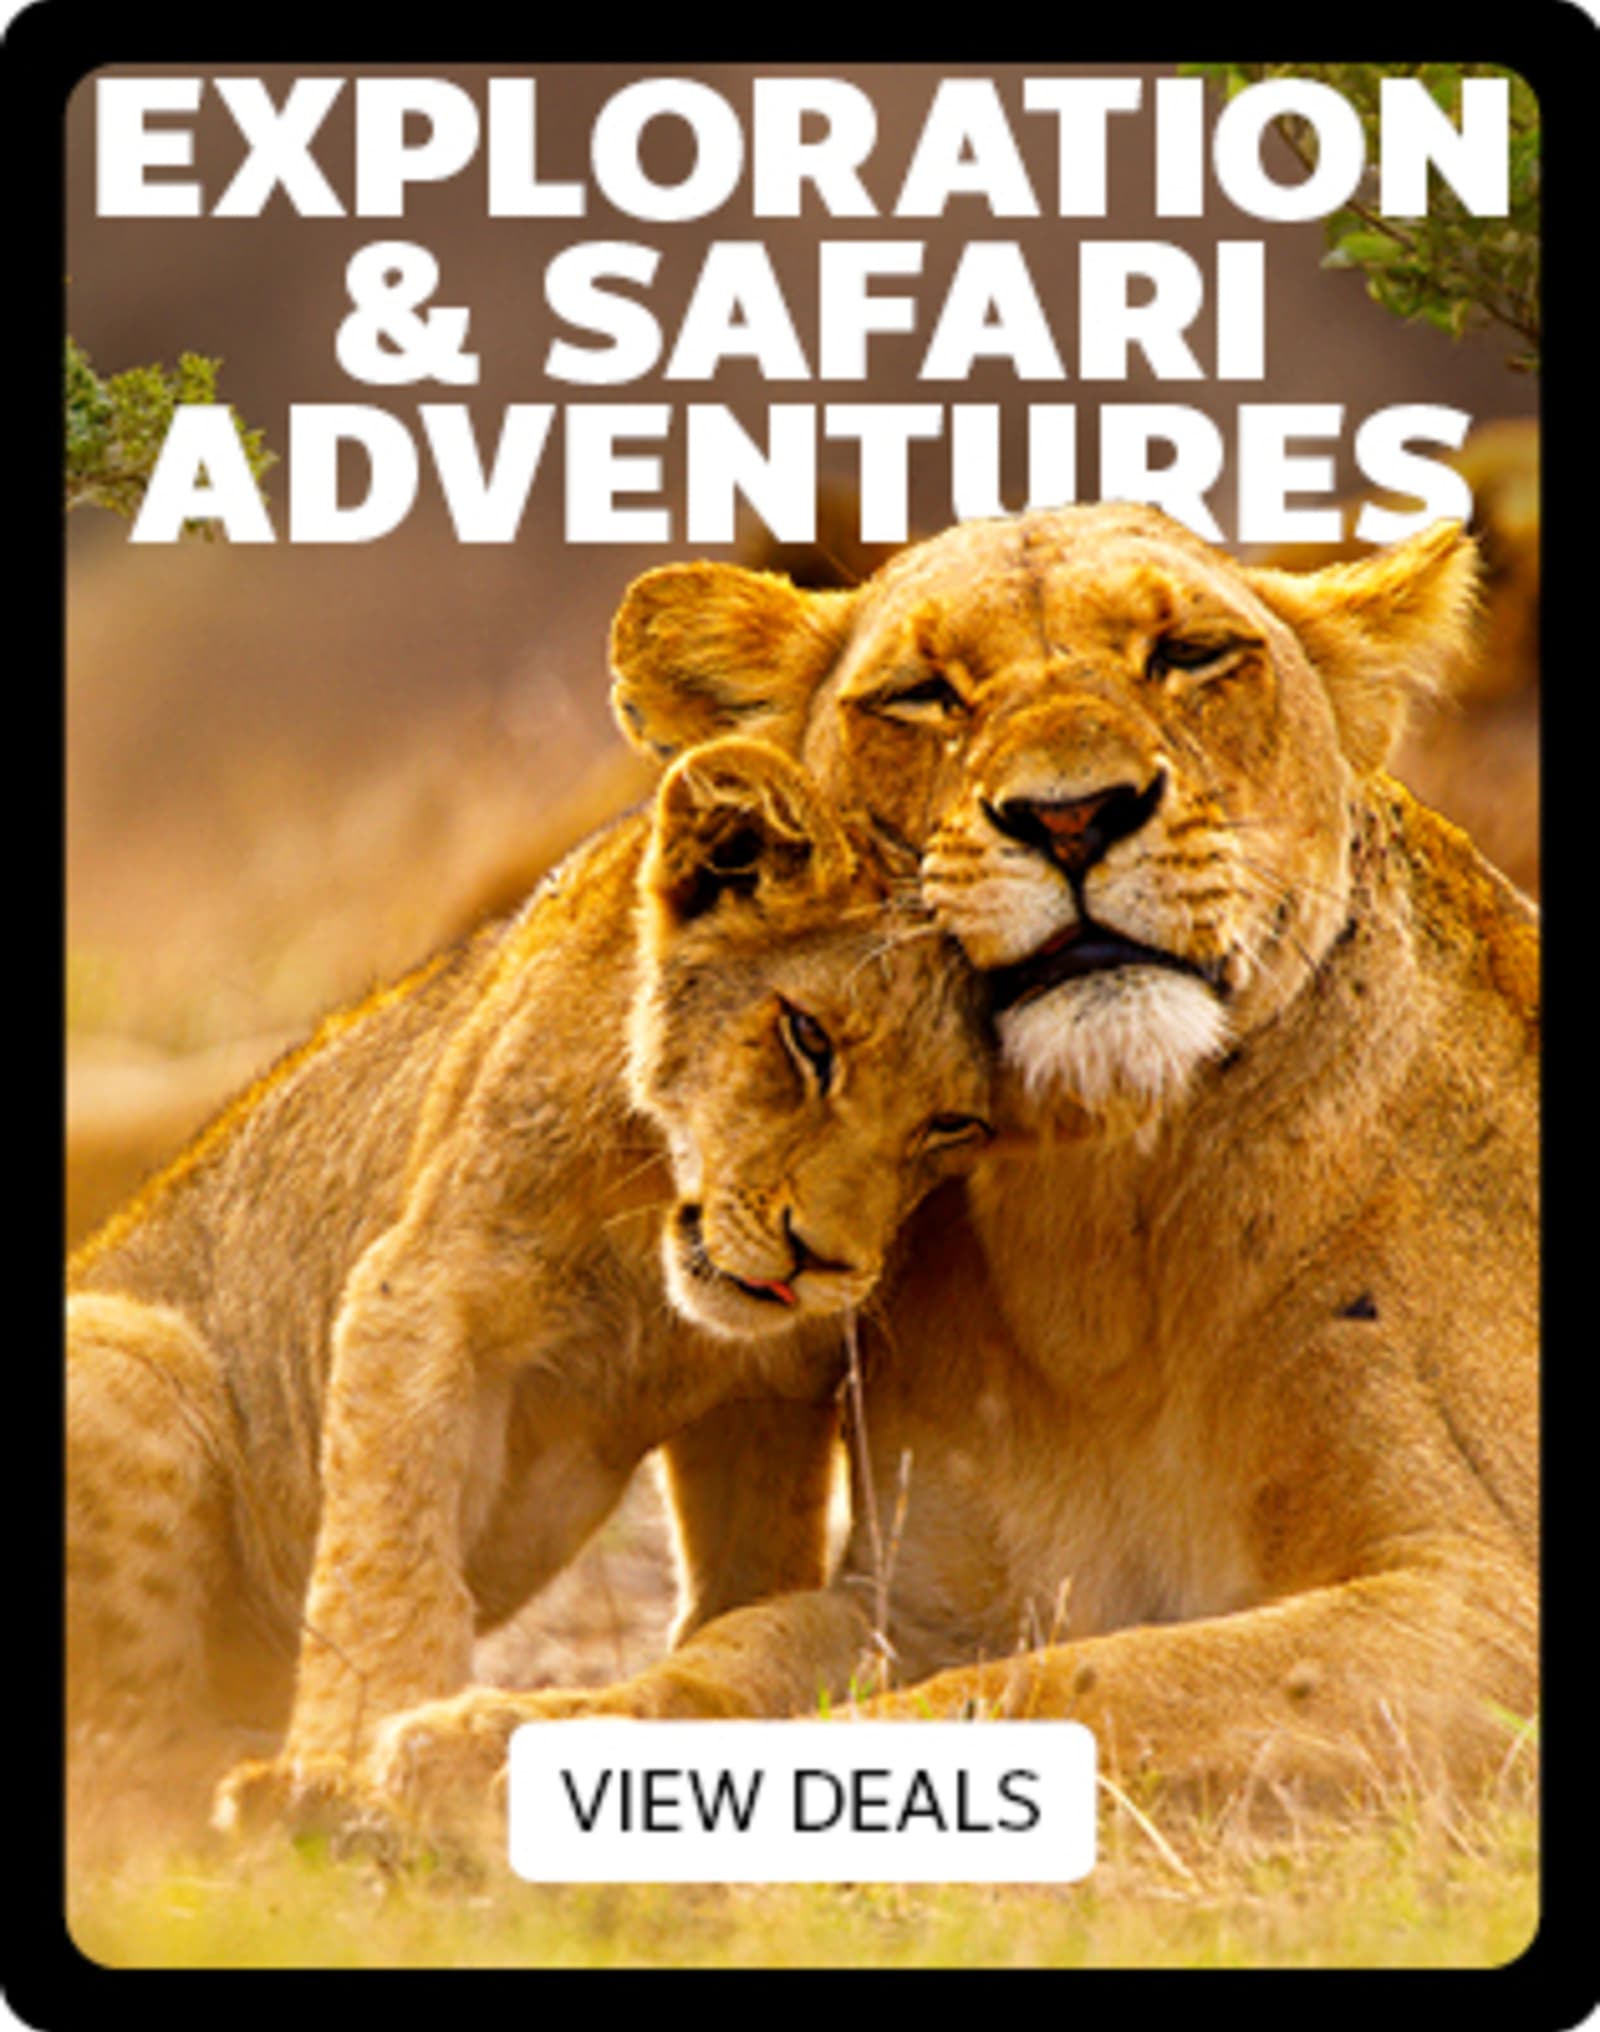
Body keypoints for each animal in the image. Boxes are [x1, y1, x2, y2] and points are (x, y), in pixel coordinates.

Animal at [65, 737, 992, 1854]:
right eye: (809, 1037)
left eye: (953, 1125)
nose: (820, 1261)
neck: (651, 1231)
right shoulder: (416, 1296)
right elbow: (390, 1564)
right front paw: (347, 1768)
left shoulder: (765, 1390)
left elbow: (751, 1576)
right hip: (130, 1351)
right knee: (116, 1767)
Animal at [372, 502, 1536, 1831]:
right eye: (923, 694)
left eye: (1190, 654)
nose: (1073, 815)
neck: (1100, 1231)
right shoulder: (924, 1601)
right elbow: (734, 1652)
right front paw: (478, 1740)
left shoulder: (1480, 1612)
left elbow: (1070, 1686)